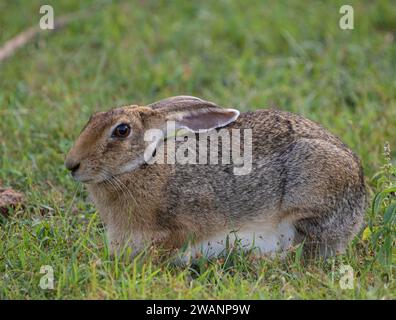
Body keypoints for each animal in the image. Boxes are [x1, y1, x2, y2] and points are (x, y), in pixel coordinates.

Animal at [64, 95, 366, 260]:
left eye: (122, 130)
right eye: (92, 118)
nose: (71, 165)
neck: (141, 167)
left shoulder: (187, 222)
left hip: (308, 199)